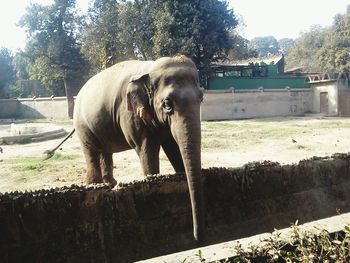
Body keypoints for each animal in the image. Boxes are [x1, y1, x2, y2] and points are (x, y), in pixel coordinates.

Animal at [46, 55, 205, 243]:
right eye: (167, 104)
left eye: (202, 98)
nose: (197, 237)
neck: (149, 69)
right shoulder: (130, 112)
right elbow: (147, 148)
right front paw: (152, 179)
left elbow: (173, 146)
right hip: (83, 125)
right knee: (91, 152)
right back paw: (95, 185)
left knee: (105, 151)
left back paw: (110, 184)